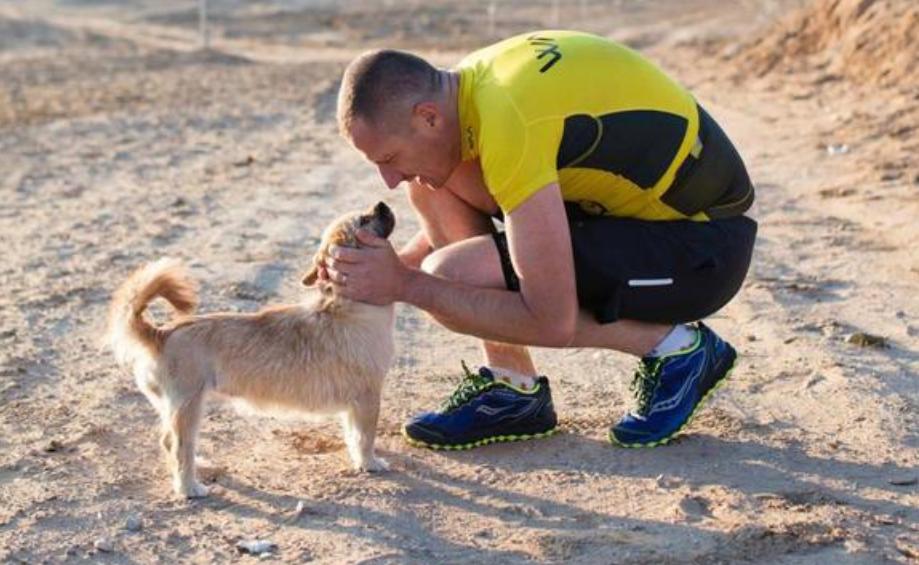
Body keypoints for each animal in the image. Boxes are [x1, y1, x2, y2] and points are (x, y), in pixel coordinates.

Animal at [106, 200, 398, 496]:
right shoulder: (367, 398)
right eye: (364, 220)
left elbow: (352, 435)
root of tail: (161, 334)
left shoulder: (354, 404)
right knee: (178, 446)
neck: (345, 305)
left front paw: (359, 460)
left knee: (170, 442)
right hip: (188, 406)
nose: (382, 203)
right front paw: (370, 463)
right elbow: (365, 437)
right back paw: (189, 487)